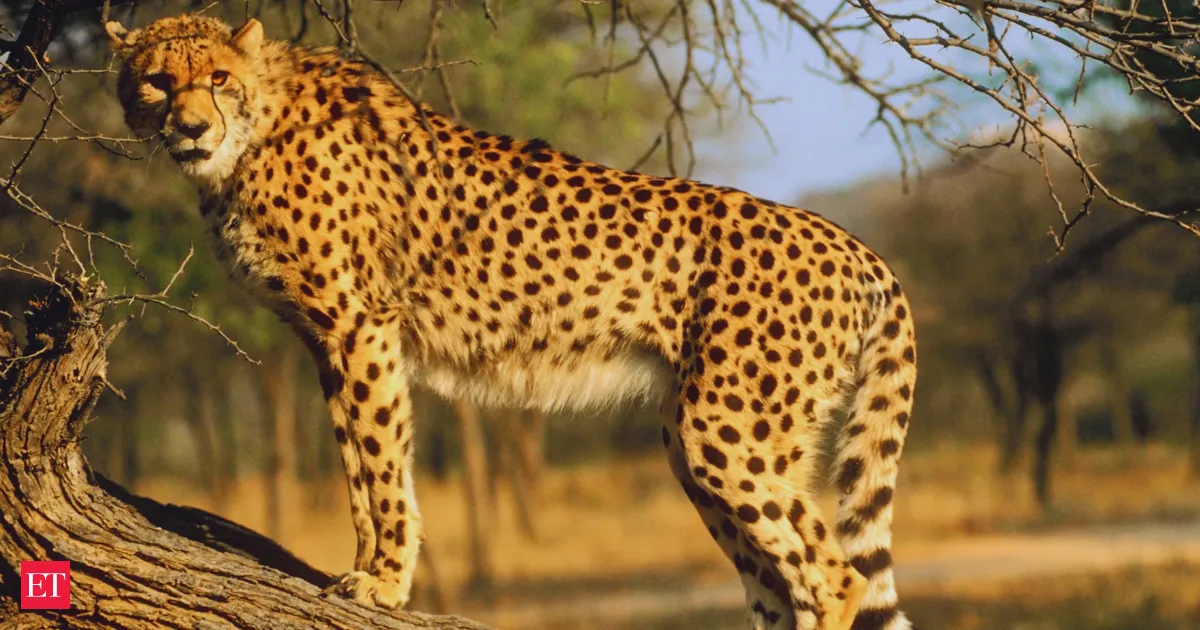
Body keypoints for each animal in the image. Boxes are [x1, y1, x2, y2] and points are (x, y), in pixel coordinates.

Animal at [106, 14, 916, 630]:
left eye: (217, 78)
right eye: (158, 81)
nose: (189, 127)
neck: (252, 134)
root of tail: (858, 246)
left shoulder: (362, 325)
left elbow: (382, 461)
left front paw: (386, 582)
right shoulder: (322, 339)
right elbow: (356, 467)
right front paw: (363, 567)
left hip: (725, 430)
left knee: (834, 576)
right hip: (700, 439)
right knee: (779, 587)